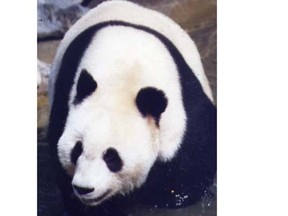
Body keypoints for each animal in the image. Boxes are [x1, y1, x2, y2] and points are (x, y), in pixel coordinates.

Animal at [47, 0, 216, 215]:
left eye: (112, 157)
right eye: (77, 150)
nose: (84, 189)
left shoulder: (184, 113)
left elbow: (191, 165)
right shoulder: (65, 98)